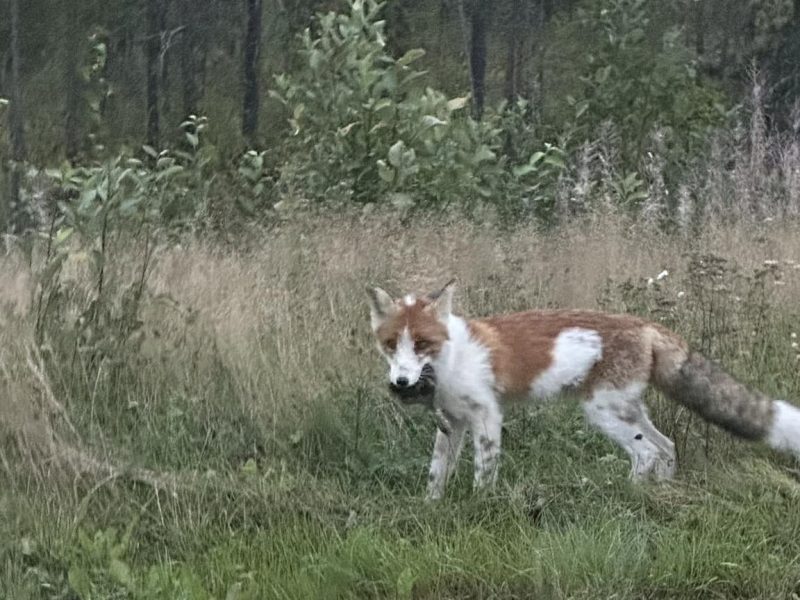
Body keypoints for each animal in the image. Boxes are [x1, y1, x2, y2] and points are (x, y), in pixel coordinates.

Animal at [368, 278, 800, 500]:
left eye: (421, 344)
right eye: (391, 345)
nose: (401, 382)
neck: (451, 360)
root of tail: (646, 324)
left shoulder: (487, 416)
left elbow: (483, 474)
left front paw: (480, 509)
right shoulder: (452, 423)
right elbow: (436, 474)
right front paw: (431, 509)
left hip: (602, 413)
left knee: (645, 454)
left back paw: (628, 496)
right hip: (629, 411)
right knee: (667, 447)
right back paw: (661, 492)